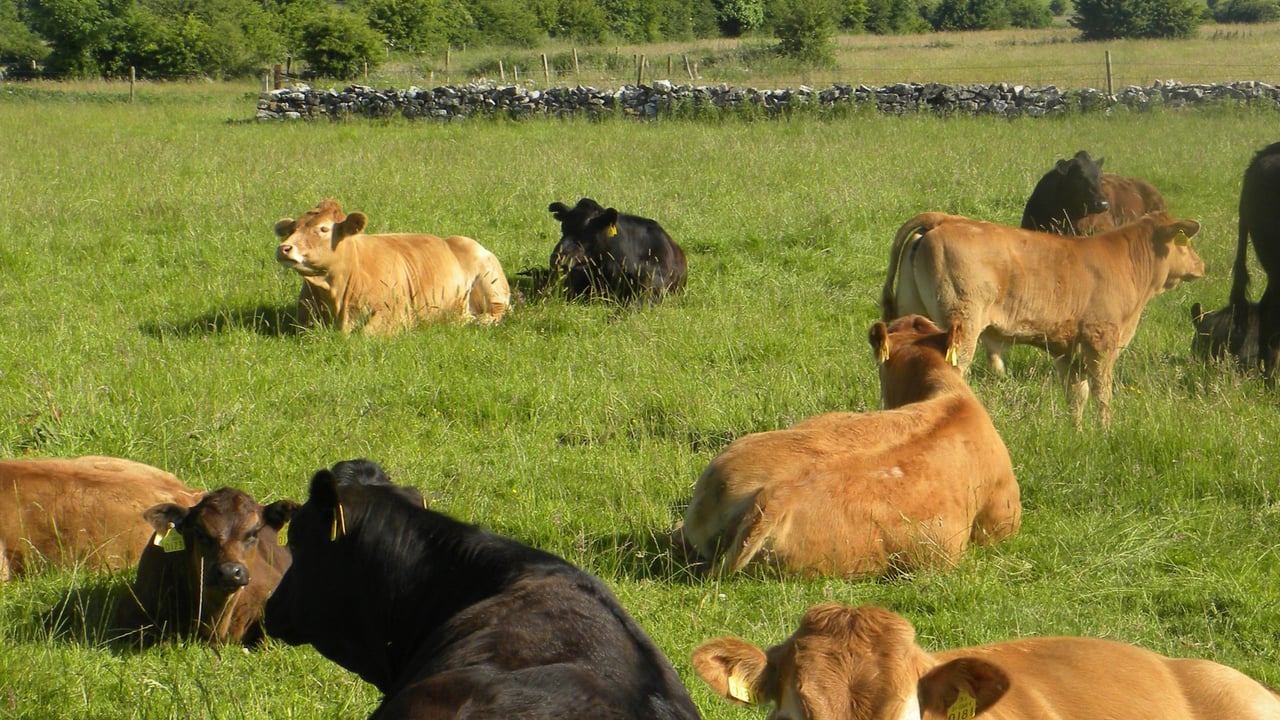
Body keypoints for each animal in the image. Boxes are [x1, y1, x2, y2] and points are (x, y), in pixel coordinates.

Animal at [275, 199, 511, 334]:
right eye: (293, 228)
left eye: (323, 229)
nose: (284, 248)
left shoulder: (396, 312)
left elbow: (366, 334)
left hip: (491, 285)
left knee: (496, 313)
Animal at [883, 211, 1205, 427]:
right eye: (1187, 243)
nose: (1201, 265)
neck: (1126, 261)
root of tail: (943, 219)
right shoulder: (1100, 340)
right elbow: (1102, 392)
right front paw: (1105, 431)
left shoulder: (1068, 350)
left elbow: (1077, 395)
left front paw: (1077, 432)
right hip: (961, 329)